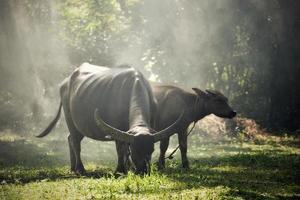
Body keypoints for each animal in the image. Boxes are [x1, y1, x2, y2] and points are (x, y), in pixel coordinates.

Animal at [37, 63, 183, 174]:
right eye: (135, 150)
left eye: (151, 150)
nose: (143, 171)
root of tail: (65, 83)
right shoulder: (118, 129)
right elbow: (121, 149)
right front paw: (120, 170)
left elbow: (124, 149)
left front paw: (128, 168)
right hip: (70, 119)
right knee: (75, 142)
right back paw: (80, 169)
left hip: (81, 125)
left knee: (70, 139)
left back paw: (73, 167)